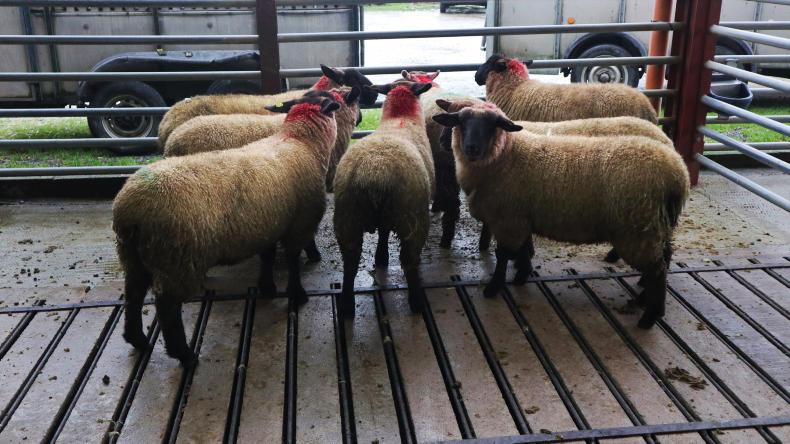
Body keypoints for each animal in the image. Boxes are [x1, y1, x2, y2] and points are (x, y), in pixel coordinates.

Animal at [113, 93, 341, 366]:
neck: (300, 141)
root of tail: (130, 210)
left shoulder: (267, 225)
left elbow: (267, 257)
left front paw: (267, 288)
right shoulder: (300, 224)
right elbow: (294, 262)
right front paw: (297, 294)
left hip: (133, 255)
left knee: (134, 294)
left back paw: (137, 339)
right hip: (177, 259)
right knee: (168, 308)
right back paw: (185, 355)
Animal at [333, 80, 434, 318]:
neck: (400, 118)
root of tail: (374, 173)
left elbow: (383, 232)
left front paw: (380, 257)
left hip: (347, 219)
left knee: (350, 263)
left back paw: (347, 306)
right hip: (412, 217)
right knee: (409, 261)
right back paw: (416, 302)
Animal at [433, 104, 689, 329]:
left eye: (492, 125)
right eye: (461, 122)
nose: (471, 148)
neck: (506, 156)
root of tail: (678, 174)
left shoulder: (509, 219)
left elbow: (504, 255)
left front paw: (494, 287)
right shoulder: (522, 216)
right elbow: (523, 249)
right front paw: (522, 275)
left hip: (638, 229)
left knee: (658, 270)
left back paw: (650, 316)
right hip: (655, 224)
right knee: (665, 256)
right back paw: (643, 298)